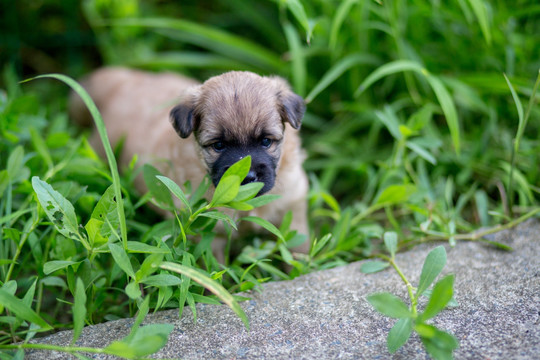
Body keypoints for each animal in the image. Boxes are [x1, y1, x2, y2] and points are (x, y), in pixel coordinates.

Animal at [69, 67, 310, 258]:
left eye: (266, 141)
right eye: (218, 145)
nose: (248, 177)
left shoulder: (293, 204)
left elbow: (298, 246)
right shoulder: (207, 232)